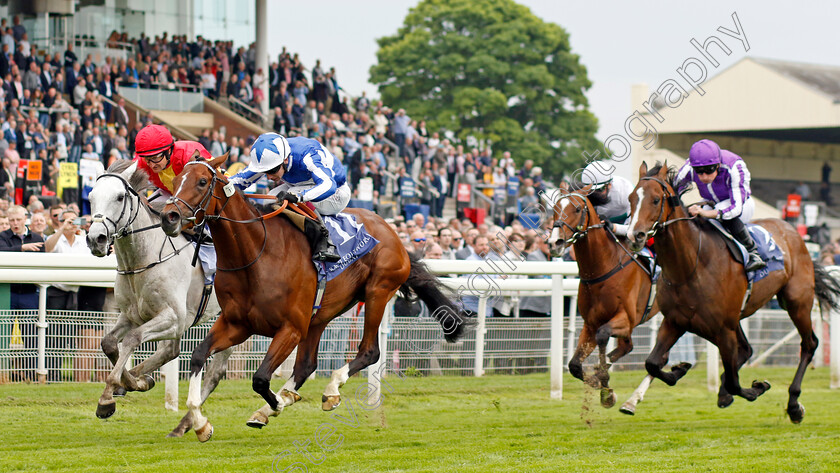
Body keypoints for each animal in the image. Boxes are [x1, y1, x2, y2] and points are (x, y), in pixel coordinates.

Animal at [85, 159, 226, 420]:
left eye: (119, 197)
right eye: (90, 197)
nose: (96, 239)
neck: (143, 259)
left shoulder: (173, 318)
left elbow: (132, 339)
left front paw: (108, 397)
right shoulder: (131, 315)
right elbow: (109, 343)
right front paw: (132, 382)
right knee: (171, 351)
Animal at [158, 154, 466, 438]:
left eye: (202, 181)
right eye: (175, 179)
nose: (169, 217)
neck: (256, 255)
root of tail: (393, 233)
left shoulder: (291, 328)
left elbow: (260, 378)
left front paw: (277, 403)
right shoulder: (238, 324)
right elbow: (198, 356)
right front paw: (200, 424)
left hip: (377, 291)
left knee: (369, 350)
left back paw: (329, 389)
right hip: (319, 315)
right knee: (307, 365)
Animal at [548, 183, 660, 412]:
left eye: (577, 209)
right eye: (554, 209)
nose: (555, 242)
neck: (603, 266)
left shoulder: (626, 319)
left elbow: (603, 335)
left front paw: (605, 388)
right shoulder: (590, 323)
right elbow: (574, 365)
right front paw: (601, 385)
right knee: (628, 346)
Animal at [624, 161, 840, 420]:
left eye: (656, 200)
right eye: (630, 199)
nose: (634, 236)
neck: (690, 266)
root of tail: (793, 232)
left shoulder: (723, 329)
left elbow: (736, 383)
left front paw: (757, 387)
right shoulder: (675, 321)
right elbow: (653, 363)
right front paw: (679, 370)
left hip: (797, 302)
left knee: (809, 344)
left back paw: (794, 405)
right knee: (747, 349)